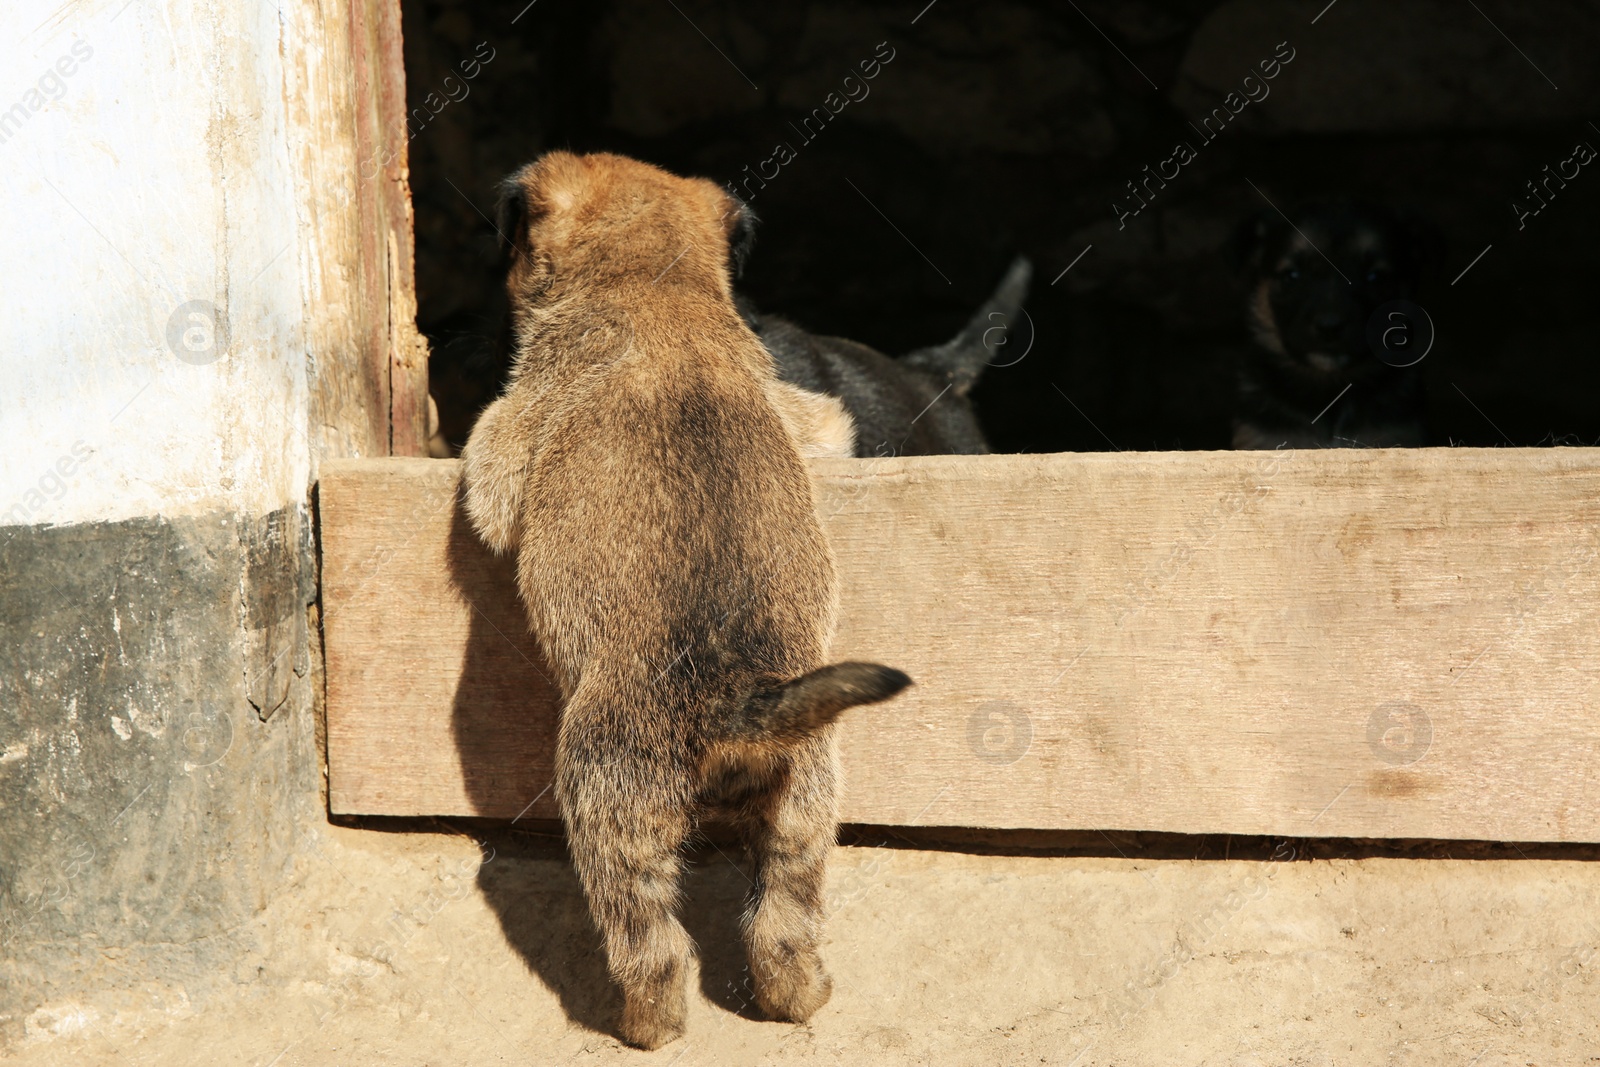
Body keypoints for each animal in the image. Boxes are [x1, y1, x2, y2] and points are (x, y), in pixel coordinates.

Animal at [464, 151, 915, 1049]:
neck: (653, 283)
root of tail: (742, 705)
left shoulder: (506, 439)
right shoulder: (814, 416)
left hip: (611, 810)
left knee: (651, 945)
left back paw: (644, 1024)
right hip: (805, 810)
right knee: (783, 928)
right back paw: (804, 995)